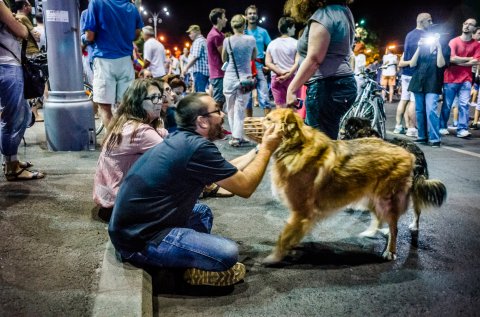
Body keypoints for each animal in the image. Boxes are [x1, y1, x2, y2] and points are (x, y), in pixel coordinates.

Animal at [262, 107, 428, 262]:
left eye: (269, 119)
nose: (341, 132)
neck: (296, 147)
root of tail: (409, 154)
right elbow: (292, 233)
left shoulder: (301, 210)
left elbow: (284, 236)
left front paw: (274, 257)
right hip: (371, 196)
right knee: (380, 217)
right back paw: (372, 232)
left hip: (386, 199)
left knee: (395, 226)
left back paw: (390, 251)